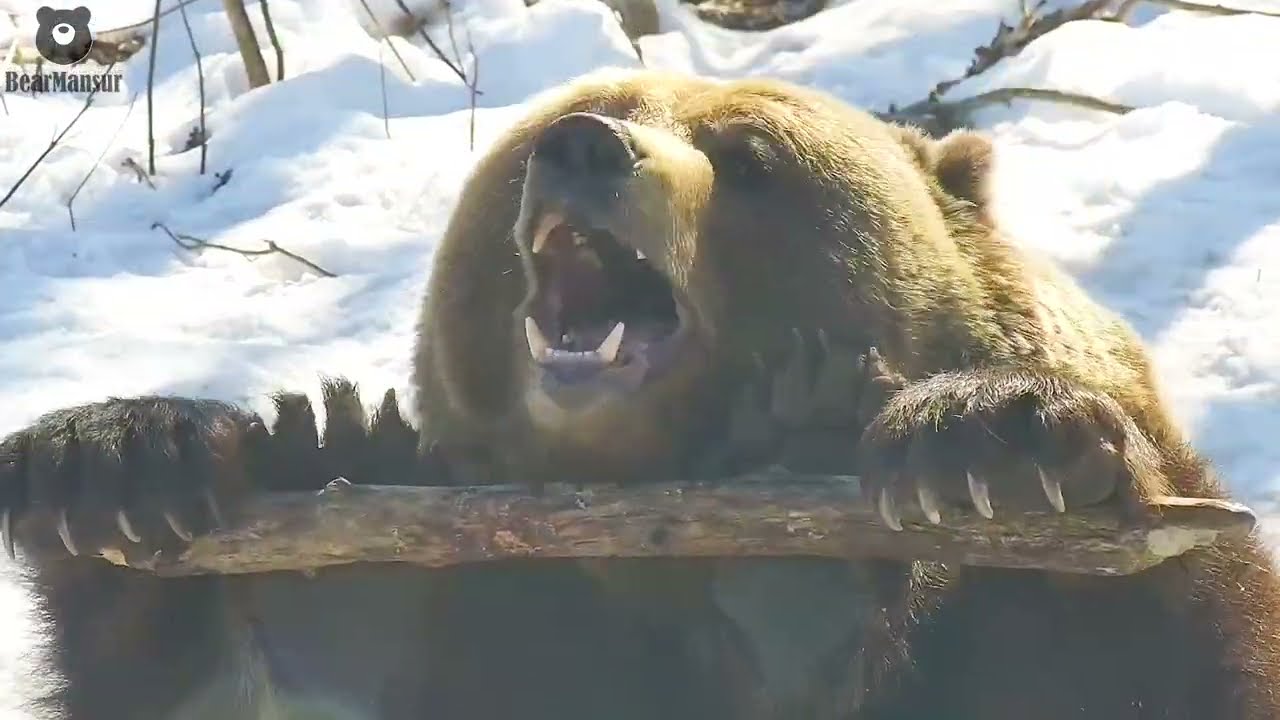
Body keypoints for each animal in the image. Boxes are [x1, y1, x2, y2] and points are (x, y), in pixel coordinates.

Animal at [3, 67, 1280, 720]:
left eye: (753, 157)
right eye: (524, 150)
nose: (581, 146)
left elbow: (1140, 653)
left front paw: (986, 434)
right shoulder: (531, 634)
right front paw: (116, 459)